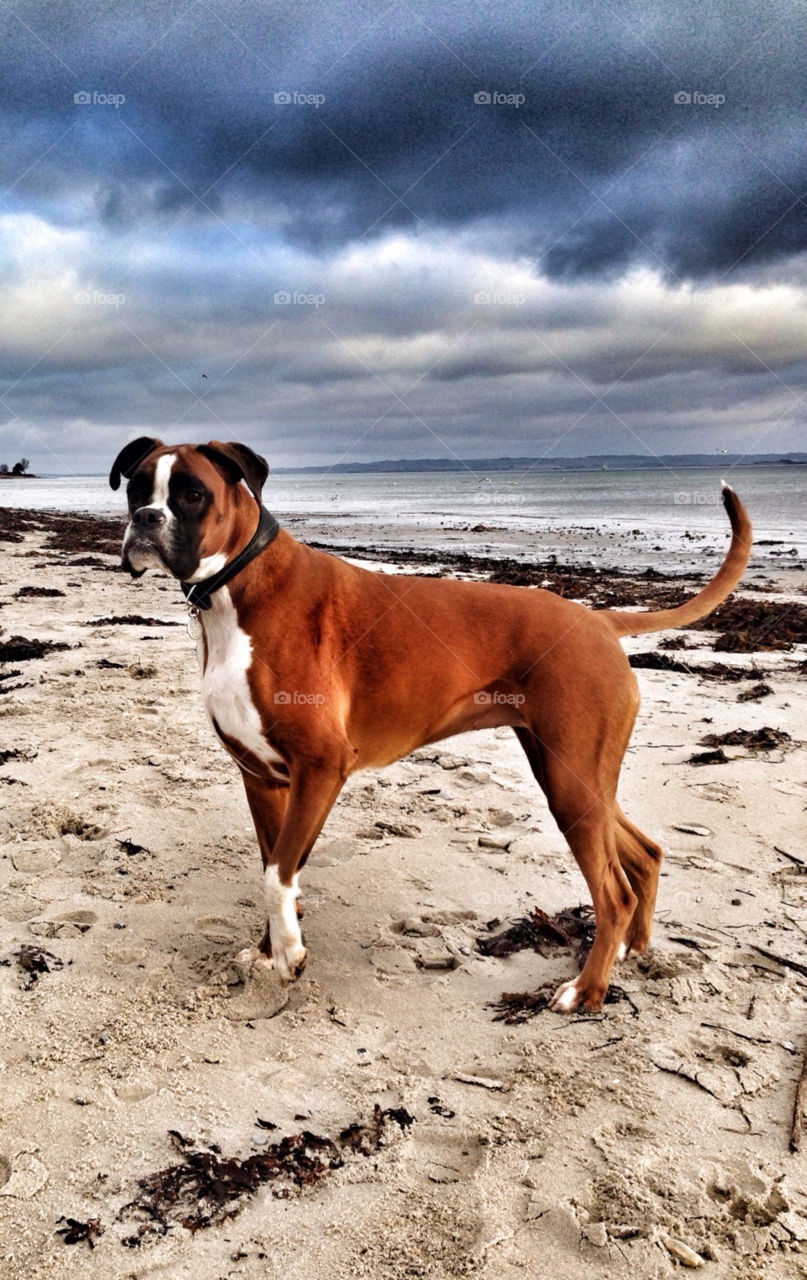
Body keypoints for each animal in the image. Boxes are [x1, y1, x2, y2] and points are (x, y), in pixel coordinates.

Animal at [110, 437, 758, 1008]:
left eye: (192, 494)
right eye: (137, 487)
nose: (145, 517)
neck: (236, 589)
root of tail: (598, 621)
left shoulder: (319, 769)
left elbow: (278, 875)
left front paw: (289, 954)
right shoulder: (264, 780)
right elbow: (274, 868)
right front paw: (272, 952)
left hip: (572, 783)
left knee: (613, 893)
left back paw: (586, 992)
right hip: (572, 778)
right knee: (644, 853)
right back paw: (631, 950)